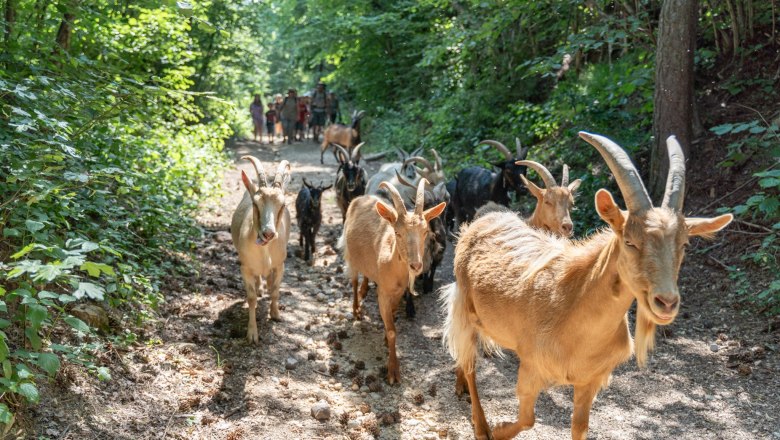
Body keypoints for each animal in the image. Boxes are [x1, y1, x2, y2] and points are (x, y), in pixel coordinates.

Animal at [231, 157, 292, 343]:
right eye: (255, 203)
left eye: (283, 204)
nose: (268, 233)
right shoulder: (245, 268)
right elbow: (251, 298)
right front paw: (252, 334)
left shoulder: (280, 265)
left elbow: (276, 291)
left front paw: (275, 314)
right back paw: (259, 288)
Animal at [339, 179, 446, 384]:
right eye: (397, 232)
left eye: (425, 231)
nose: (415, 265)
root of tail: (360, 197)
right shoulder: (383, 293)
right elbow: (392, 331)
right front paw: (393, 372)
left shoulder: (397, 293)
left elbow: (393, 319)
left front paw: (385, 339)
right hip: (350, 256)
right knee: (354, 280)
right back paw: (356, 310)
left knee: (366, 276)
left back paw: (364, 290)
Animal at [441, 132, 732, 440]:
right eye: (629, 241)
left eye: (684, 244)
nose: (666, 302)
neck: (575, 314)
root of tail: (486, 215)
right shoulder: (531, 366)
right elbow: (527, 419)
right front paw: (497, 430)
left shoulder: (589, 382)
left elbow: (579, 428)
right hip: (465, 305)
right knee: (469, 361)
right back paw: (480, 422)